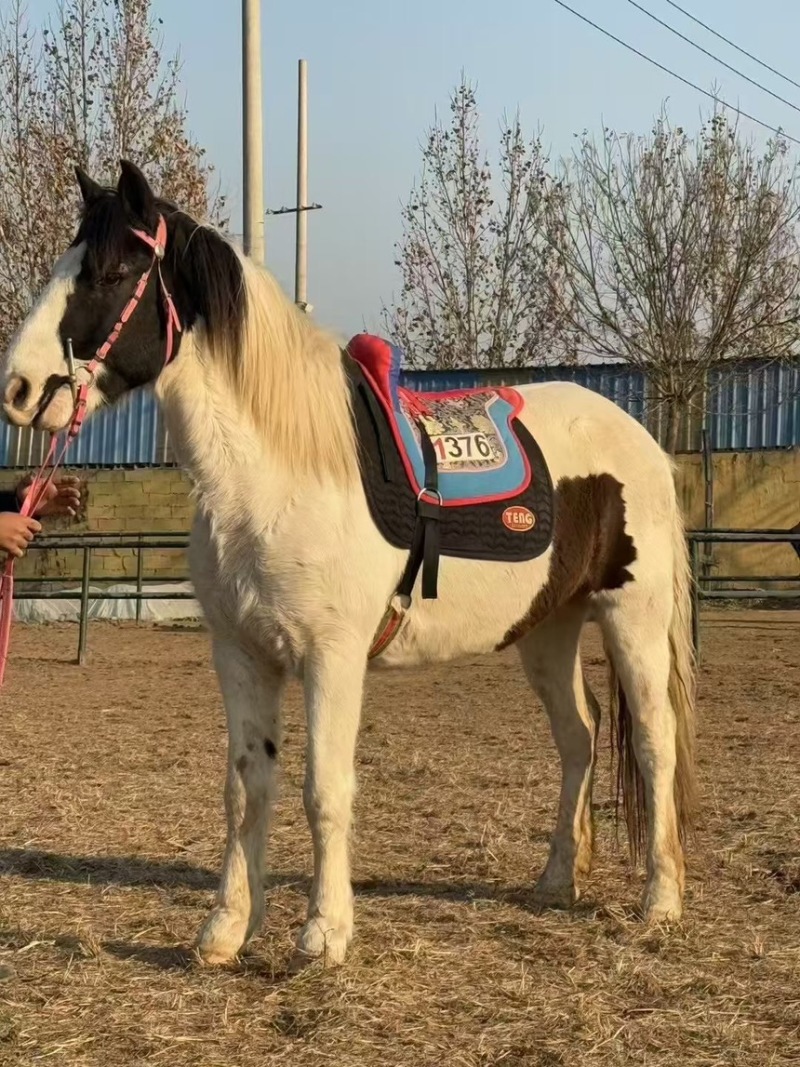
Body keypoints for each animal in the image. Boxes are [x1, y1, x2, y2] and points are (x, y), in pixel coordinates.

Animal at [0, 161, 697, 967]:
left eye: (113, 273)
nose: (18, 389)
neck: (275, 476)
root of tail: (642, 443)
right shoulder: (241, 655)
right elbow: (245, 788)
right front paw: (226, 928)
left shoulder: (331, 657)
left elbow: (324, 790)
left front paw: (323, 933)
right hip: (548, 629)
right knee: (579, 739)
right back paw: (557, 879)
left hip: (632, 620)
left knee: (654, 745)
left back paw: (660, 901)